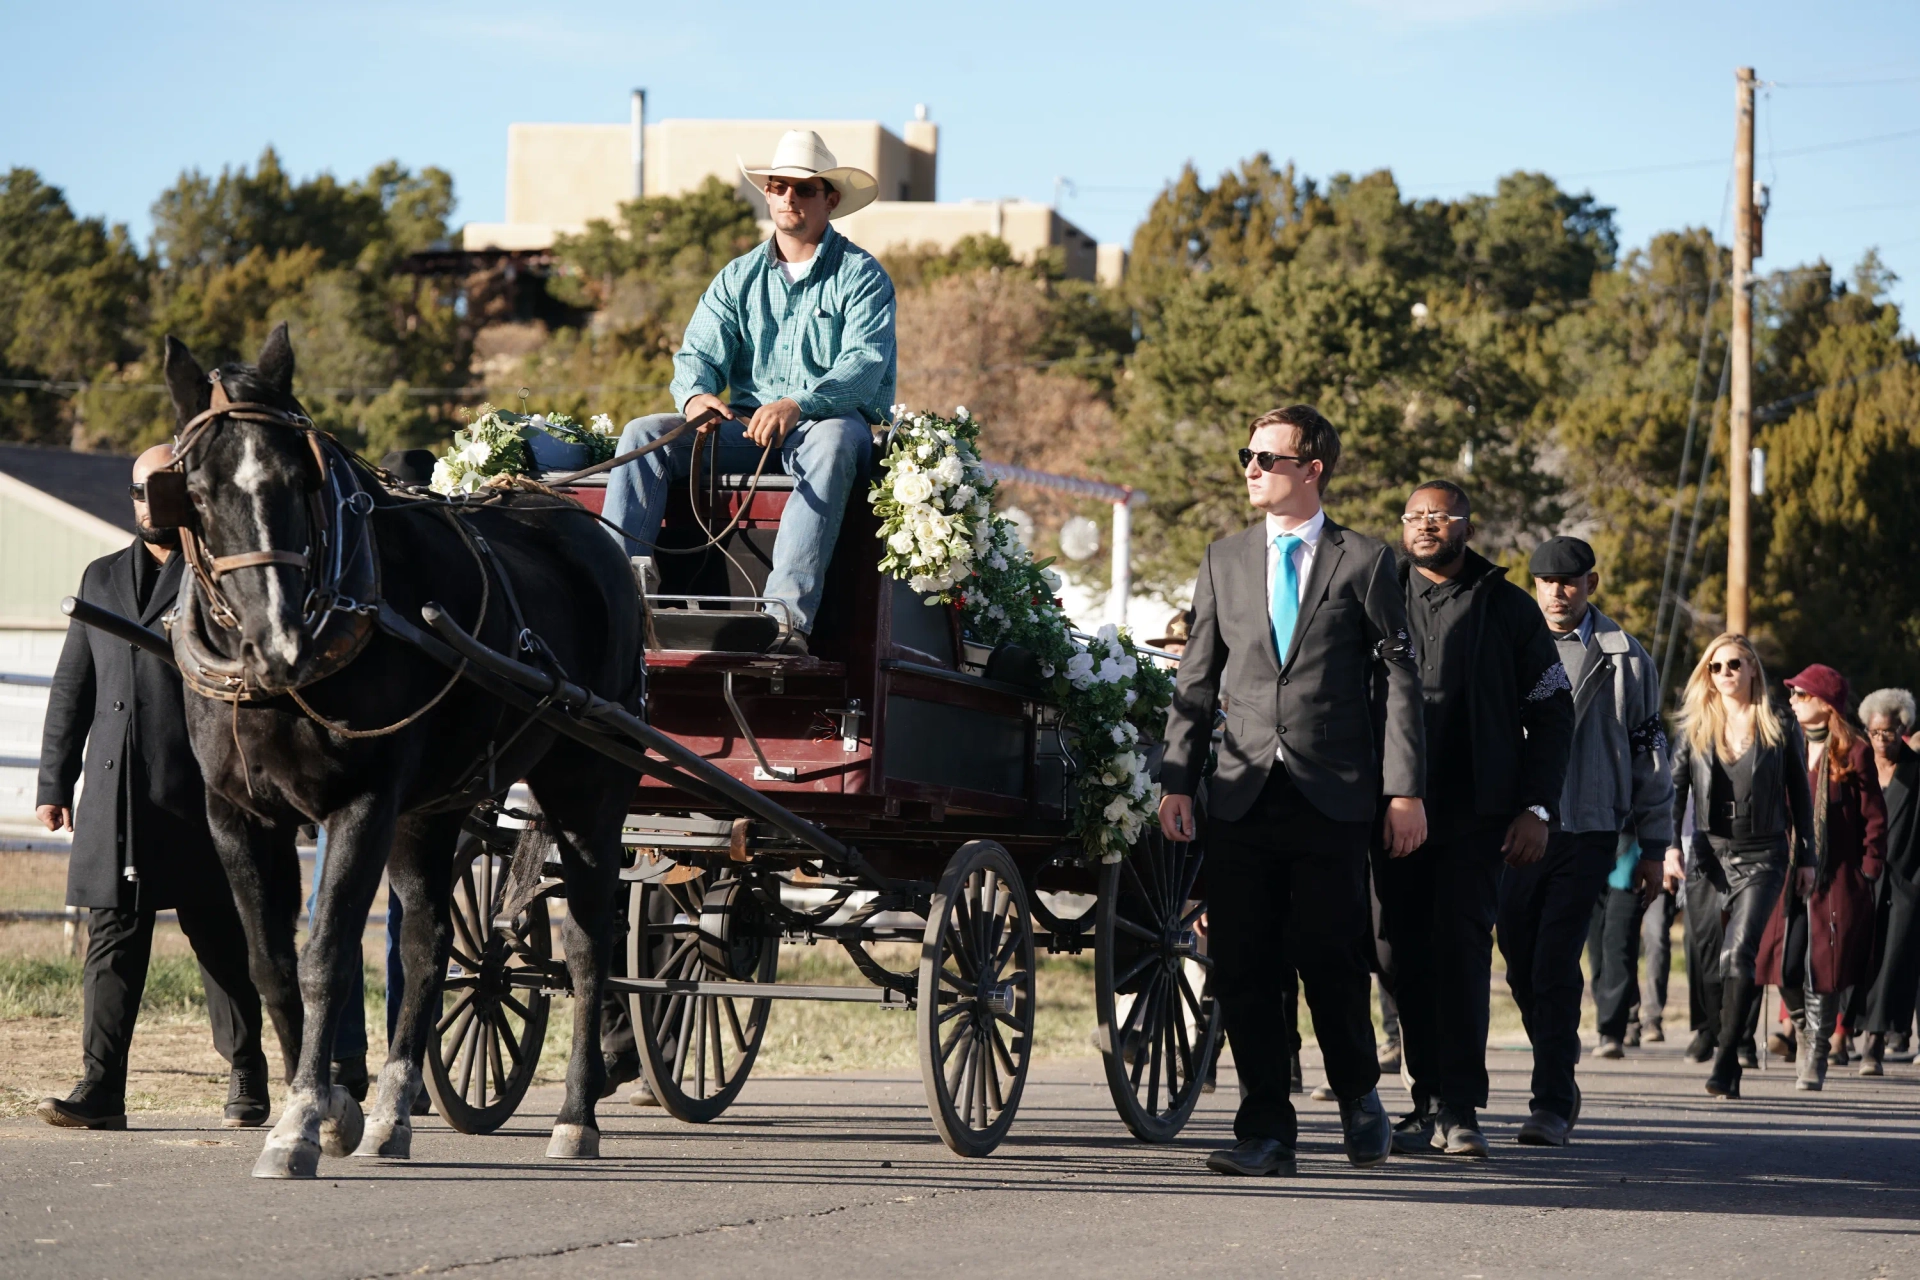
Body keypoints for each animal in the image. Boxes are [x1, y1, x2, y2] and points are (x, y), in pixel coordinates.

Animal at [161, 328, 641, 1182]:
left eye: (299, 480)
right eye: (199, 491)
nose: (280, 644)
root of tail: (582, 527)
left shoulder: (363, 804)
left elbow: (325, 955)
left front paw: (299, 1126)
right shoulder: (237, 814)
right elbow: (272, 966)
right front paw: (331, 1109)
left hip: (587, 784)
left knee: (589, 946)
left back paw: (577, 1118)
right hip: (434, 810)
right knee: (429, 946)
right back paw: (392, 1117)